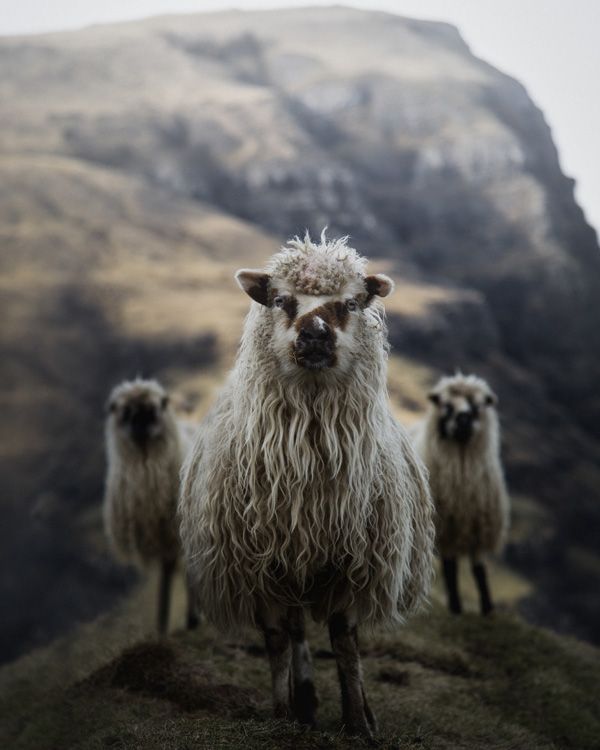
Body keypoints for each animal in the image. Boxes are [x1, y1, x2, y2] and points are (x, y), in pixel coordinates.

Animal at [103, 378, 199, 634]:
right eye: (126, 413)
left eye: (152, 410)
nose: (140, 424)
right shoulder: (163, 539)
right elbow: (166, 576)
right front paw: (161, 626)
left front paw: (190, 620)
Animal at [180, 233, 435, 738]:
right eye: (281, 299)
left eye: (352, 303)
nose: (314, 334)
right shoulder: (258, 565)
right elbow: (278, 640)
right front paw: (282, 715)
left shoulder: (352, 562)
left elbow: (345, 641)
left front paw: (358, 723)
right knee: (295, 630)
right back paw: (305, 703)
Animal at [412, 373, 510, 616]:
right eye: (446, 405)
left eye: (476, 406)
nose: (463, 419)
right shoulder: (447, 528)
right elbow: (450, 568)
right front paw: (456, 606)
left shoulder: (478, 528)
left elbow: (479, 569)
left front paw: (487, 608)